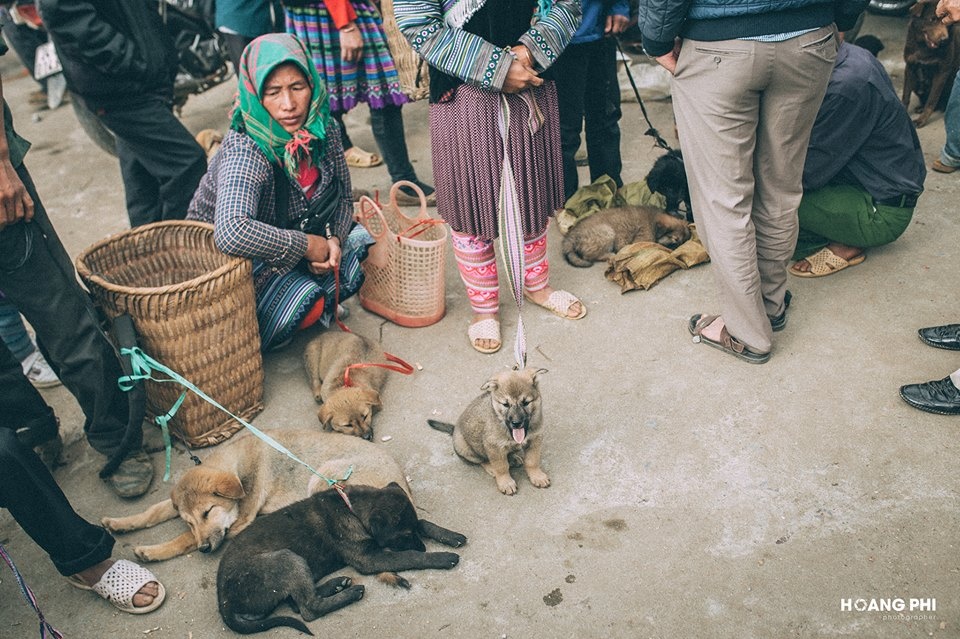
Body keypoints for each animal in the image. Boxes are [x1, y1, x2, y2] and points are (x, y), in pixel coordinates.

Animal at [101, 430, 408, 560]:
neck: (239, 464)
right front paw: (120, 523)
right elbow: (154, 510)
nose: (204, 550)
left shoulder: (239, 520)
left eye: (208, 512)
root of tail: (403, 484)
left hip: (322, 478)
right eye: (189, 520)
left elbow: (184, 540)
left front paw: (153, 551)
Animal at [221, 484, 468, 636]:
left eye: (411, 531)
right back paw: (350, 592)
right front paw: (440, 557)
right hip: (287, 558)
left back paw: (337, 584)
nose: (423, 546)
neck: (351, 509)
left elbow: (425, 523)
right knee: (308, 609)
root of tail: (223, 600)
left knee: (296, 601)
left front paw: (451, 536)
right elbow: (409, 556)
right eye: (404, 535)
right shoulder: (369, 558)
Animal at [428, 368, 548, 498]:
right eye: (505, 404)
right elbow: (501, 467)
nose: (516, 423)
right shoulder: (493, 446)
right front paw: (506, 482)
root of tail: (454, 429)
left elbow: (532, 461)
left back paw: (513, 458)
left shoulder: (535, 440)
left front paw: (537, 476)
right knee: (482, 460)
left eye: (526, 402)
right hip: (464, 447)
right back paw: (492, 467)